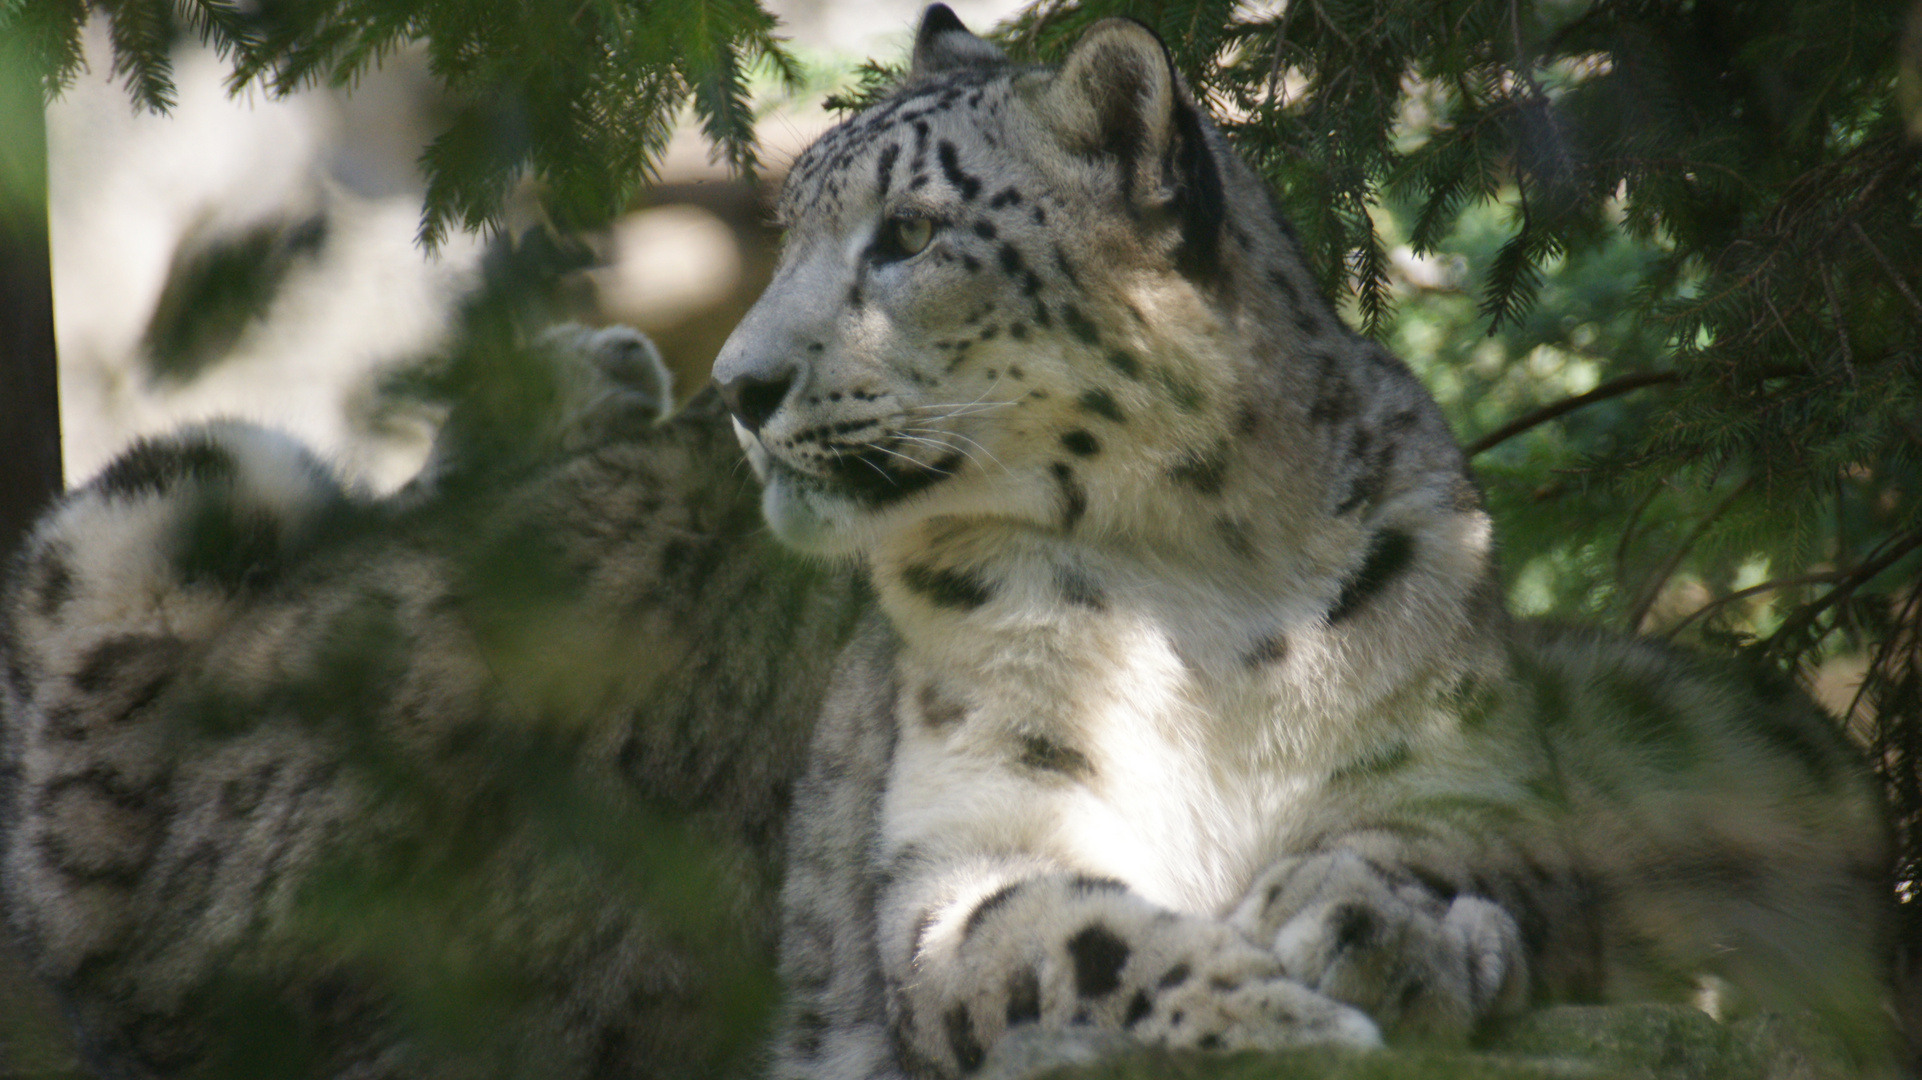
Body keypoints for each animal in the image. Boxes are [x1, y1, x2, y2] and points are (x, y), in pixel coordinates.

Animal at [714, 10, 1898, 1076]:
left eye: (910, 232)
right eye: (789, 230)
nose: (736, 386)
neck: (1194, 583)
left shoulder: (1468, 778)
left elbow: (1450, 855)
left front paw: (1368, 927)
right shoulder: (973, 824)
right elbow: (1052, 934)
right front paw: (1270, 1006)